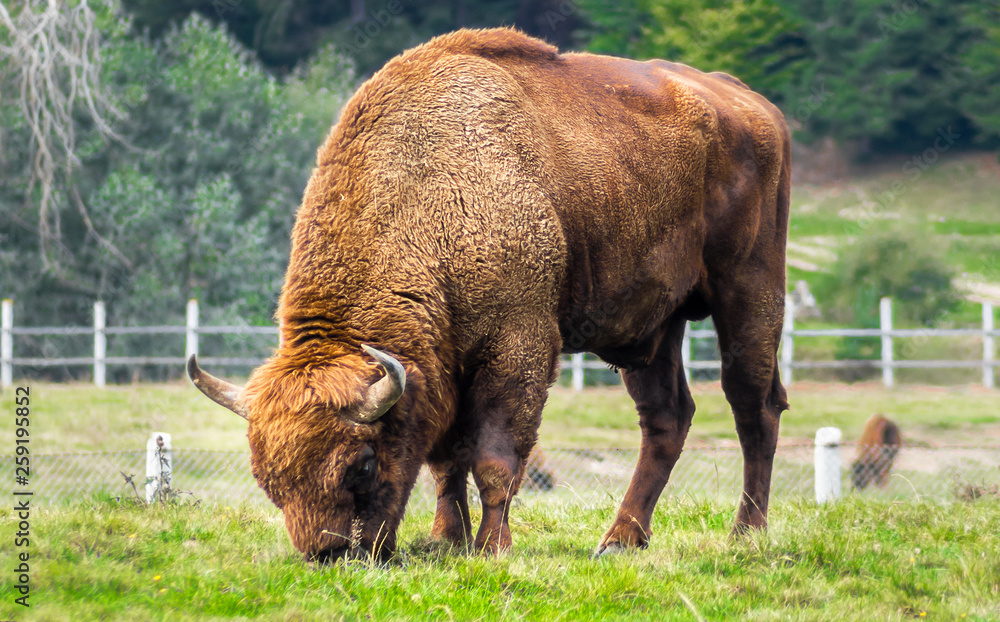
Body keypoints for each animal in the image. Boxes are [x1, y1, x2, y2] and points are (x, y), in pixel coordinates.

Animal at [188, 29, 792, 564]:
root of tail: (754, 105)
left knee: (753, 407)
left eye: (360, 465)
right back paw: (620, 540)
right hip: (651, 328)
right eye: (266, 479)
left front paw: (492, 548)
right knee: (666, 420)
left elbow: (494, 456)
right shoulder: (444, 368)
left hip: (749, 293)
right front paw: (445, 540)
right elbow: (445, 460)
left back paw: (746, 534)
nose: (329, 554)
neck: (422, 198)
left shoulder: (516, 347)